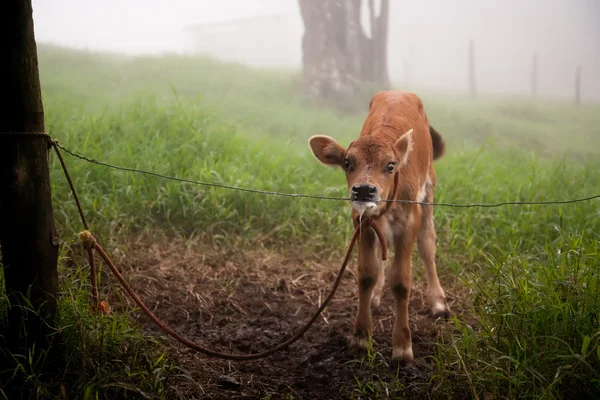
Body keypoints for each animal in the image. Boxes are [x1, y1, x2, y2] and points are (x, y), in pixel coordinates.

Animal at [310, 90, 446, 366]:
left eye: (391, 165)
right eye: (347, 163)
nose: (364, 190)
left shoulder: (409, 221)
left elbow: (402, 281)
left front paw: (402, 348)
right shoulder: (361, 222)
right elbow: (366, 274)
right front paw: (361, 337)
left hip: (429, 191)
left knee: (428, 245)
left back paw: (438, 301)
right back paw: (375, 297)